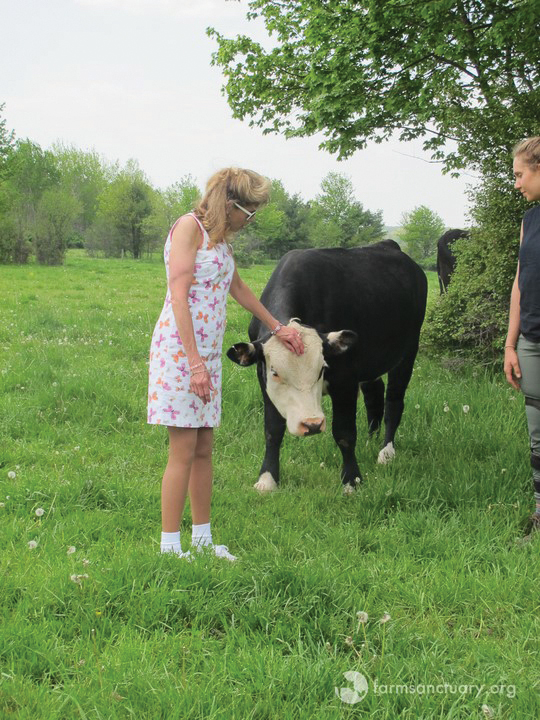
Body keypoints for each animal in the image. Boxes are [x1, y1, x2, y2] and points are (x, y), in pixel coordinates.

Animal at [226, 242, 428, 496]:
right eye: (275, 372)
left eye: (322, 369)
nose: (311, 424)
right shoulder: (263, 380)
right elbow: (272, 430)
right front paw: (268, 478)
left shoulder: (346, 379)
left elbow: (344, 433)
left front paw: (352, 480)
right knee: (374, 394)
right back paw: (371, 439)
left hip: (408, 351)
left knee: (394, 401)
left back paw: (386, 451)